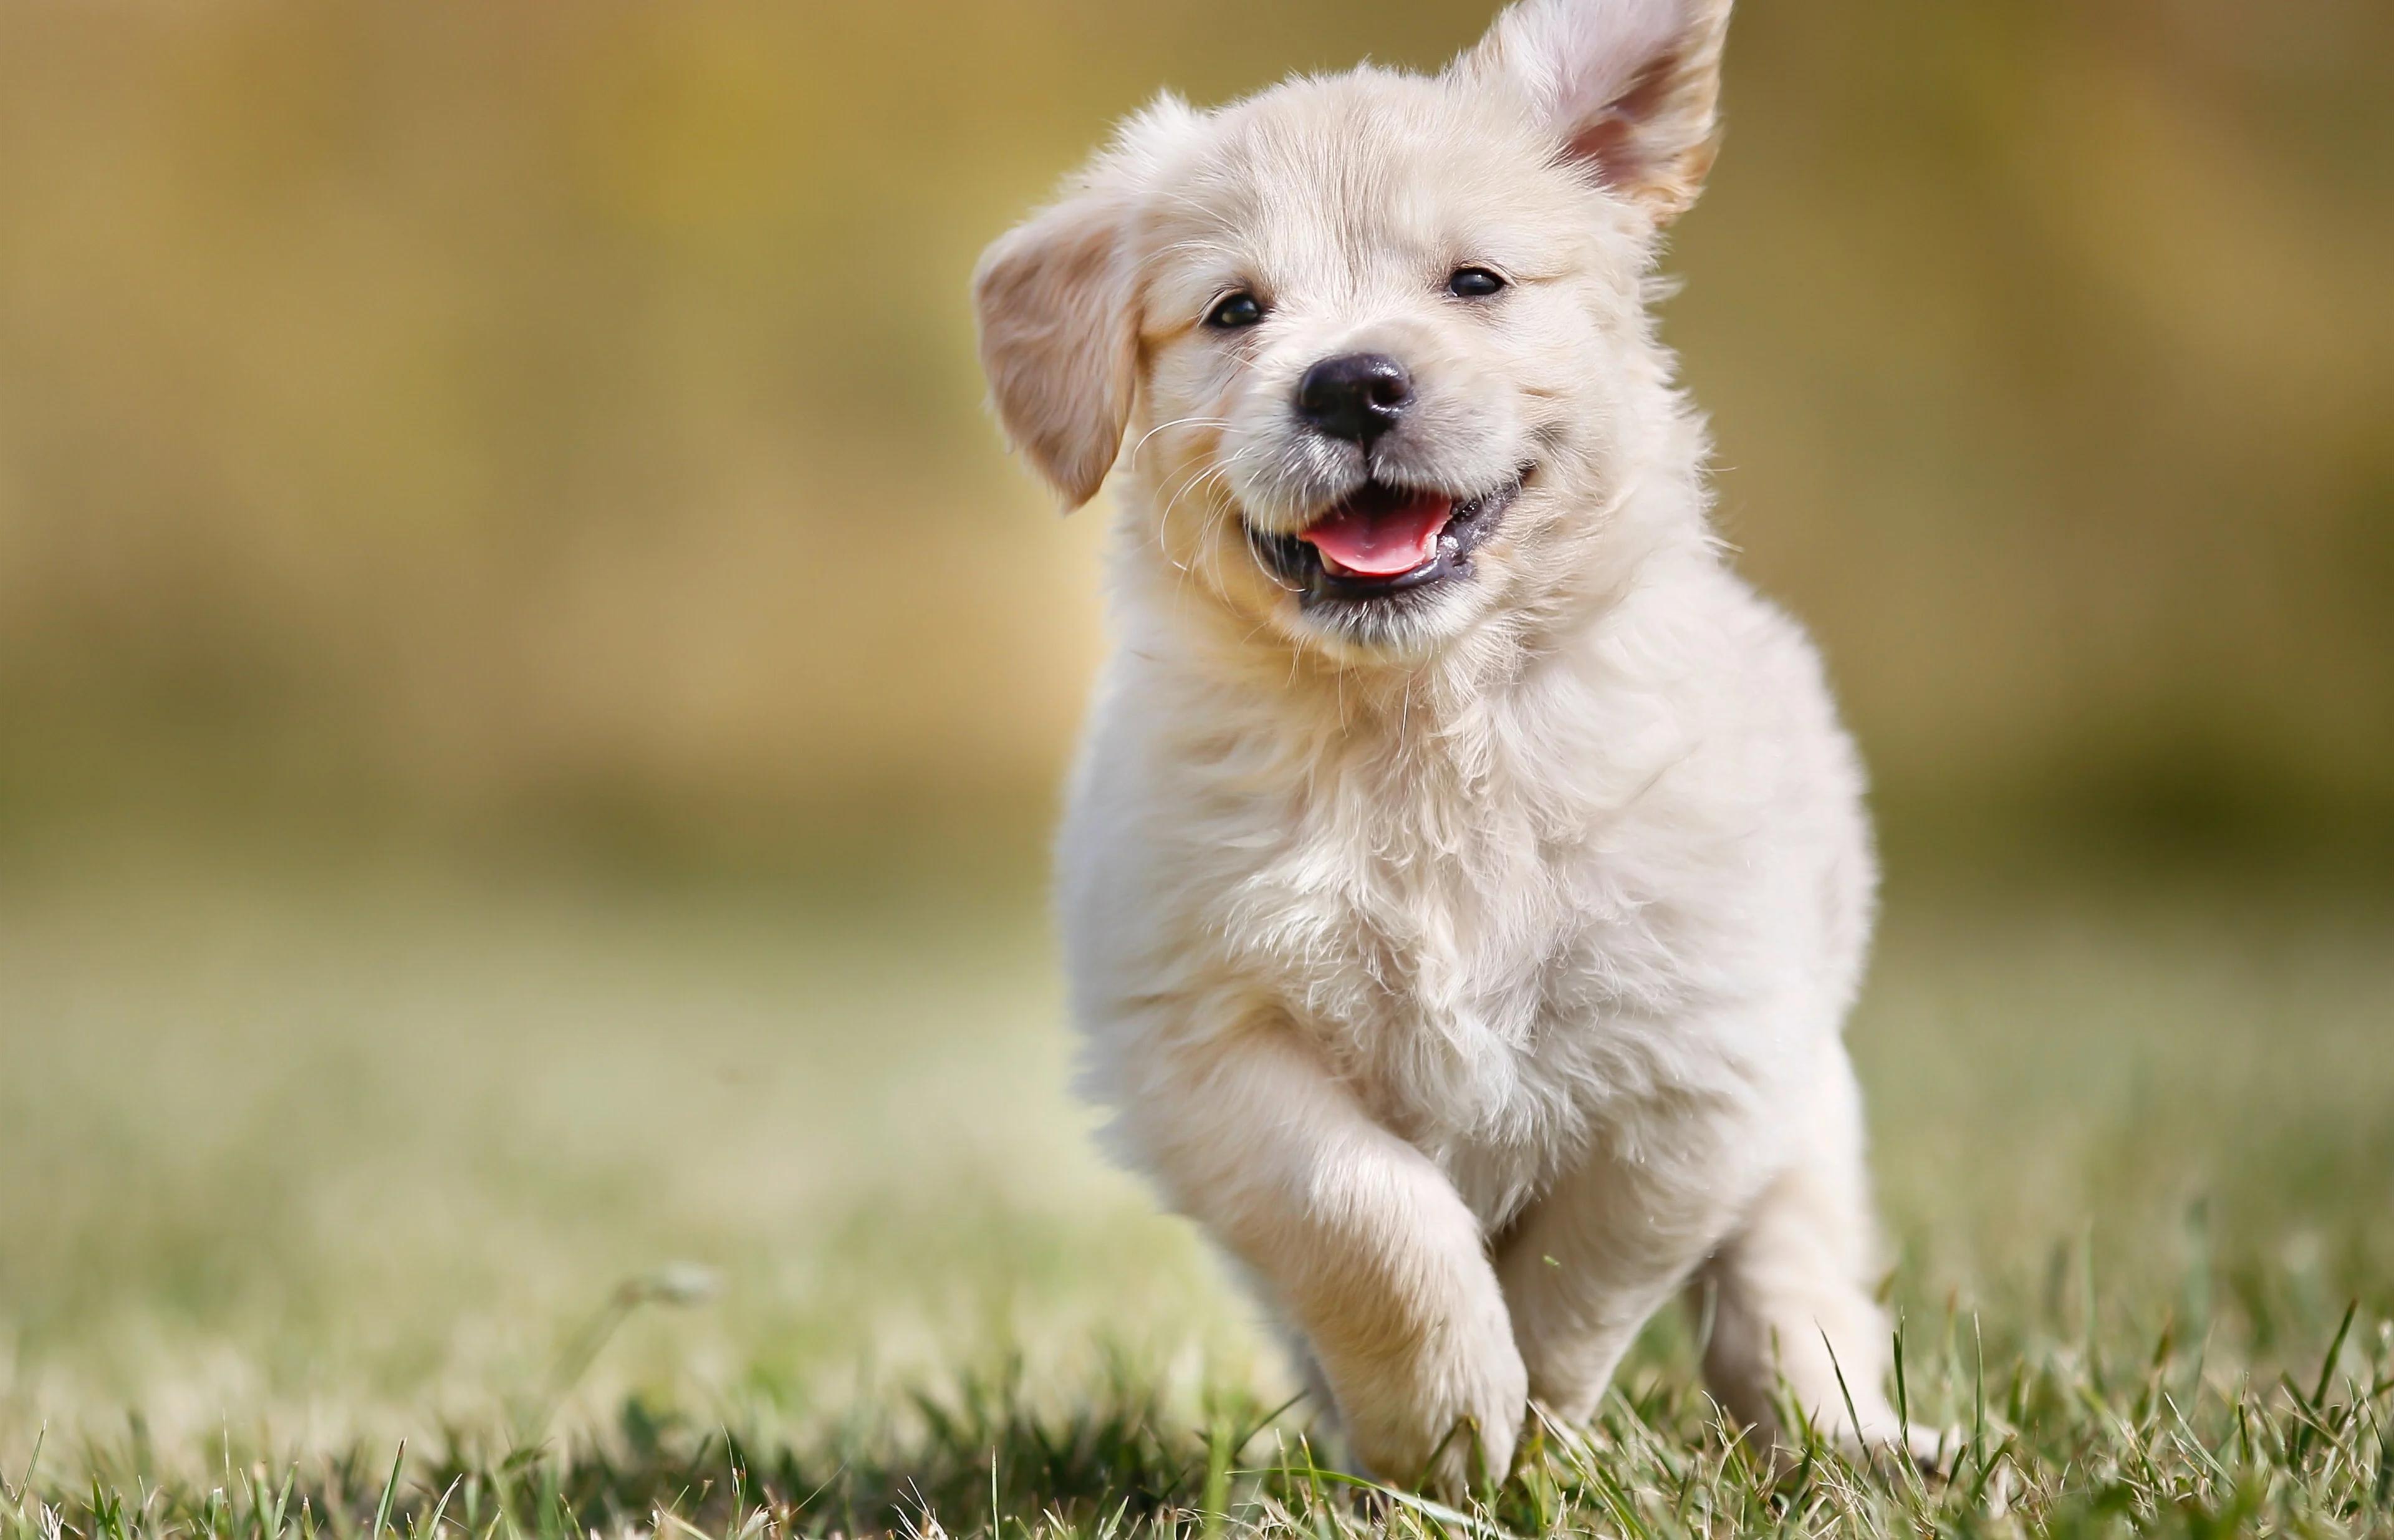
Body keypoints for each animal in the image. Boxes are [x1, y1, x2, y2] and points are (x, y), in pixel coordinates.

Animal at [972, 0, 1925, 1504]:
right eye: (1236, 309)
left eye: (1476, 282)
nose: (1352, 384)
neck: (1416, 725)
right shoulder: (1202, 1042)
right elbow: (1367, 1215)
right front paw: (1447, 1426)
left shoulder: (1697, 1065)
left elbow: (1586, 1269)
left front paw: (1530, 1431)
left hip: (1810, 1100)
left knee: (1792, 1276)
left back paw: (1858, 1442)